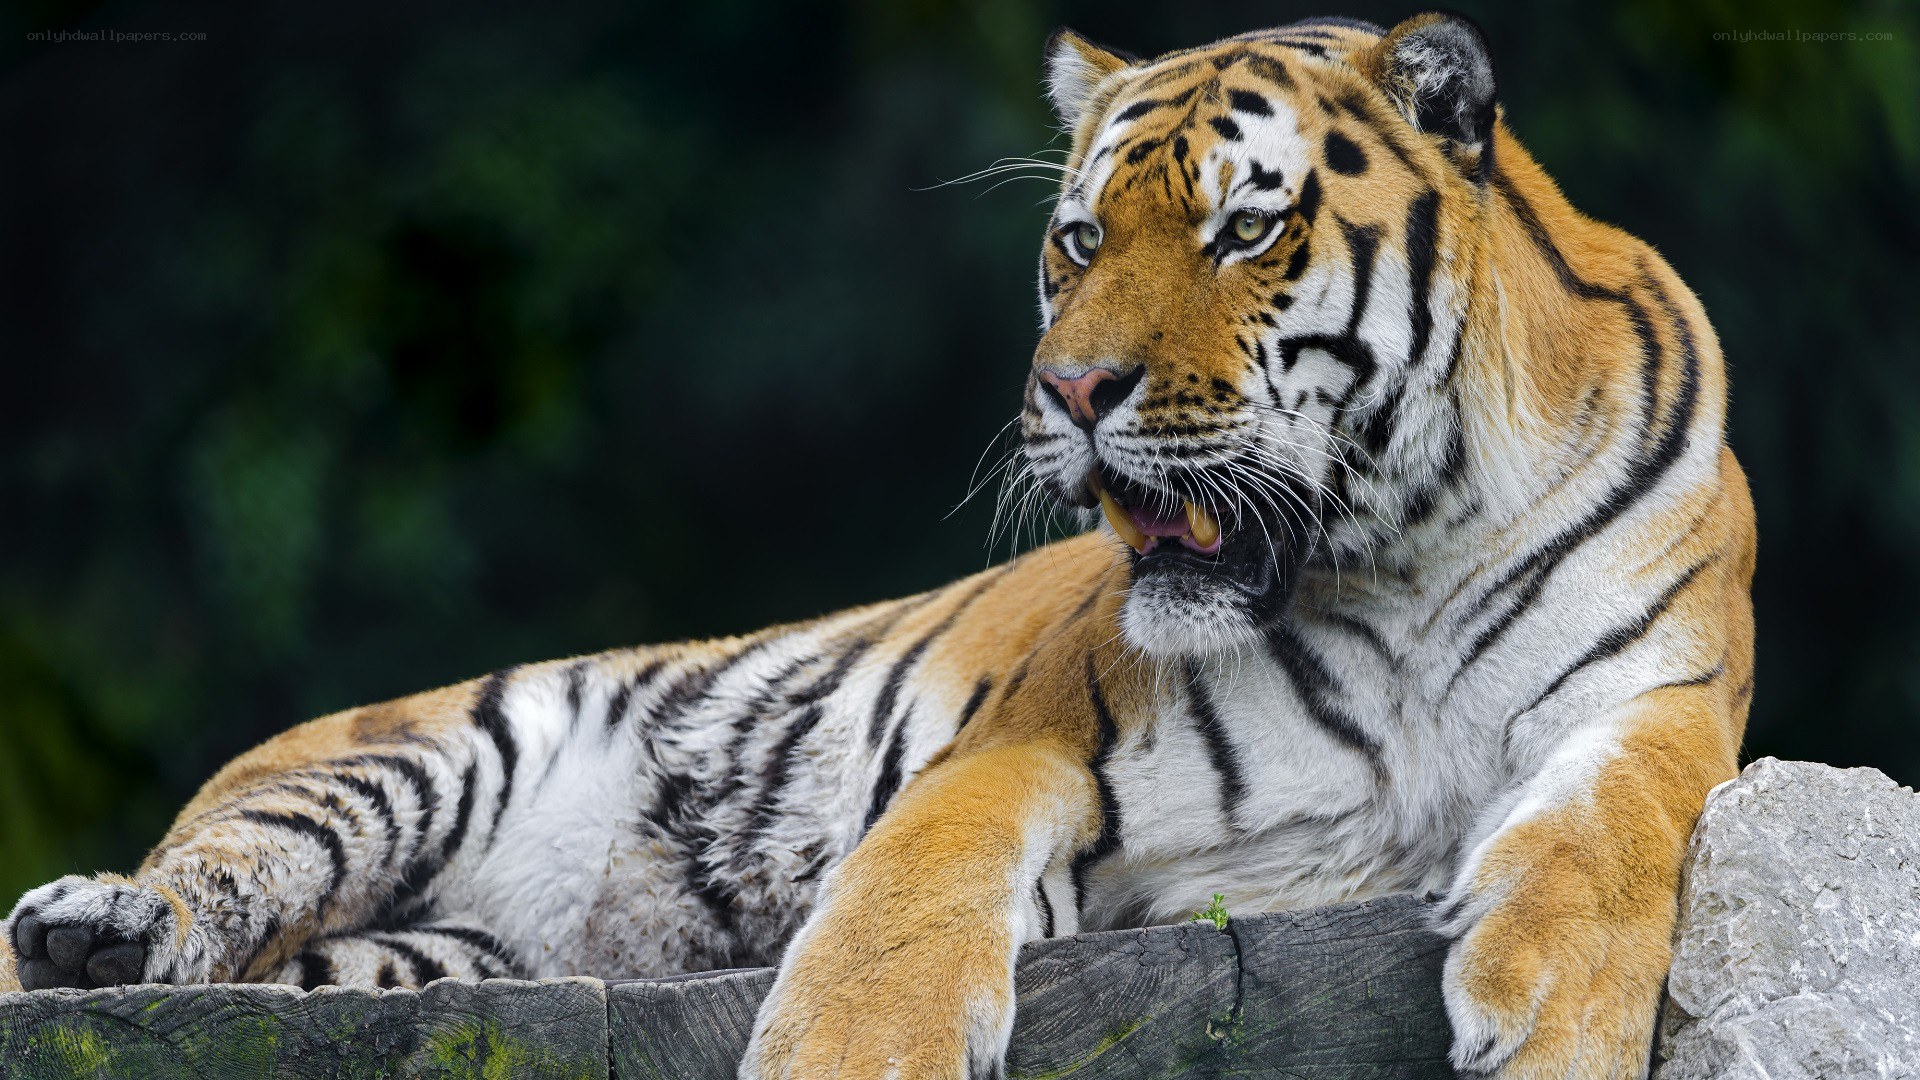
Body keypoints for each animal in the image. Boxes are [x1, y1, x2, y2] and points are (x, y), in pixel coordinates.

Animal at [3, 12, 1754, 1079]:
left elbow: (1622, 831)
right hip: (410, 756)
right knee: (210, 876)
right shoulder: (1034, 743)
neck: (1403, 555)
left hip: (420, 957)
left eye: (1245, 229)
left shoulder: (1668, 701)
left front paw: (1558, 1024)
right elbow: (906, 896)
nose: (1071, 389)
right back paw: (94, 925)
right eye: (1078, 240)